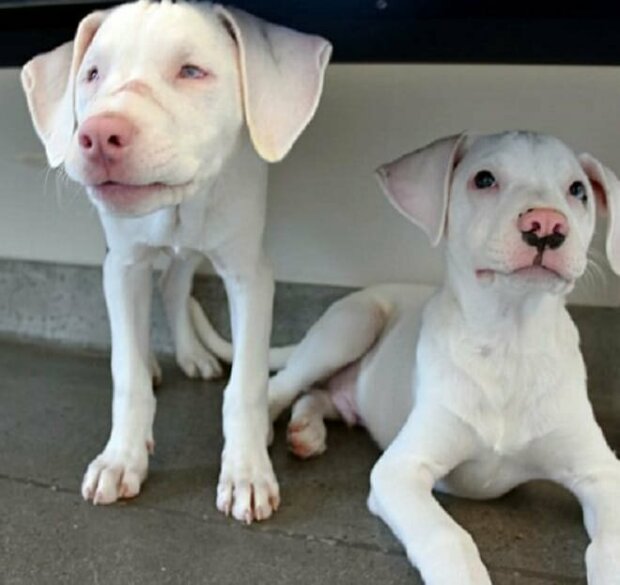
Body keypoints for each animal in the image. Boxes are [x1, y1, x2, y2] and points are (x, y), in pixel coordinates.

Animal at [21, 0, 331, 523]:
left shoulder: (250, 274)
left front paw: (246, 472)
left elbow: (246, 386)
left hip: (199, 247)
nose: (98, 135)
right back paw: (153, 362)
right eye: (92, 74)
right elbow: (126, 375)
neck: (178, 206)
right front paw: (121, 459)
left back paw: (192, 354)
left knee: (174, 284)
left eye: (191, 72)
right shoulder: (123, 265)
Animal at [269, 131, 620, 583]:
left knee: (321, 396)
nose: (546, 226)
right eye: (484, 179)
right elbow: (447, 537)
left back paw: (306, 431)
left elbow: (610, 545)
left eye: (578, 190)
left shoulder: (603, 473)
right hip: (351, 325)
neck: (509, 343)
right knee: (282, 386)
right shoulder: (399, 470)